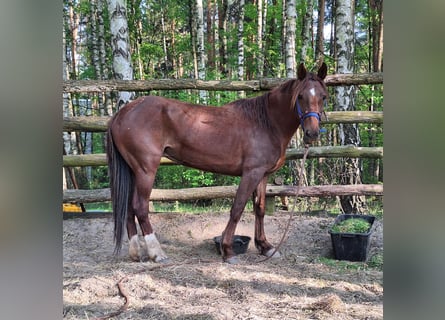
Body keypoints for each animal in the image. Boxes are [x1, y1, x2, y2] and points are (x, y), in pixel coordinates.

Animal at [106, 62, 328, 262]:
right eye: (300, 96)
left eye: (323, 97)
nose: (312, 133)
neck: (266, 122)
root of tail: (122, 113)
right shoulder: (251, 173)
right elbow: (237, 208)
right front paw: (228, 250)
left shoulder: (263, 175)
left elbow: (260, 209)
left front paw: (265, 247)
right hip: (146, 170)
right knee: (140, 207)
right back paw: (157, 253)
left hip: (133, 171)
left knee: (129, 209)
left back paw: (136, 253)